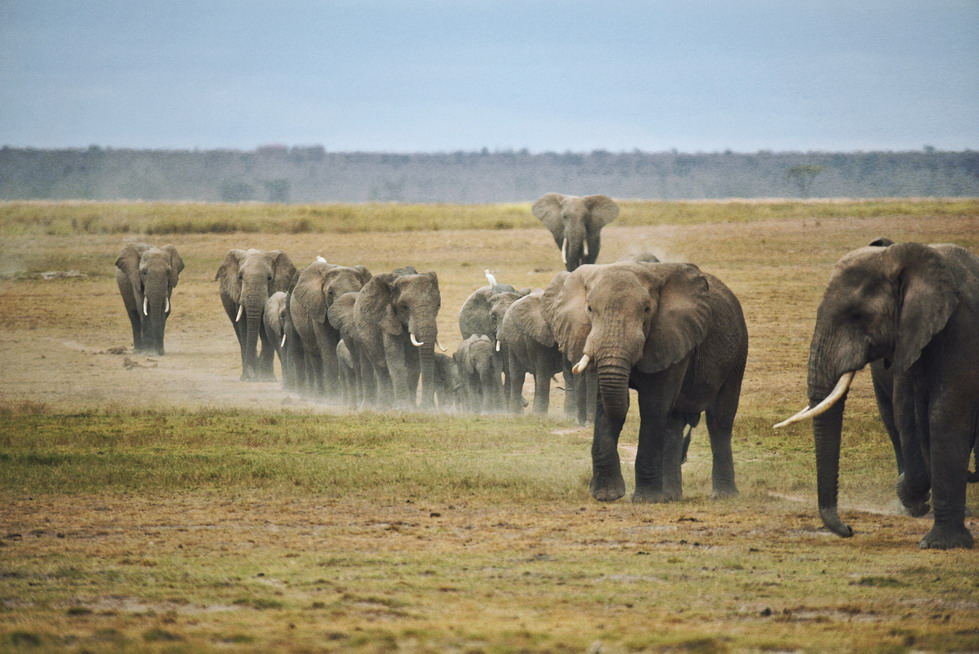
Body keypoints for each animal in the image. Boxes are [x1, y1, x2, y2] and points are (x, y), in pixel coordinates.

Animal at [212, 251, 292, 384]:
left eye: (269, 278)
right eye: (240, 277)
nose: (252, 375)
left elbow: (265, 330)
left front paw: (266, 378)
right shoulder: (238, 295)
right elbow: (244, 327)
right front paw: (249, 377)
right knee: (239, 333)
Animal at [290, 262, 374, 400]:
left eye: (359, 289)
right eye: (330, 292)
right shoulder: (318, 307)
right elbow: (327, 347)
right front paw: (333, 397)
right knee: (315, 357)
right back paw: (320, 396)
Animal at [498, 292, 576, 420]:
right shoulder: (536, 338)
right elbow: (543, 374)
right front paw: (540, 416)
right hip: (509, 341)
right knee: (518, 376)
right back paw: (516, 415)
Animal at [544, 264, 752, 504]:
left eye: (646, 310)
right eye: (589, 308)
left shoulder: (671, 335)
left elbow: (654, 406)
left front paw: (645, 499)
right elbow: (607, 404)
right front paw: (607, 495)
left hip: (738, 351)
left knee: (719, 419)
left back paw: (723, 496)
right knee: (674, 423)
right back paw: (670, 496)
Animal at [772, 241, 979, 548]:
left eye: (856, 315)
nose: (848, 529)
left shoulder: (962, 330)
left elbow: (942, 416)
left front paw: (940, 542)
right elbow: (914, 417)